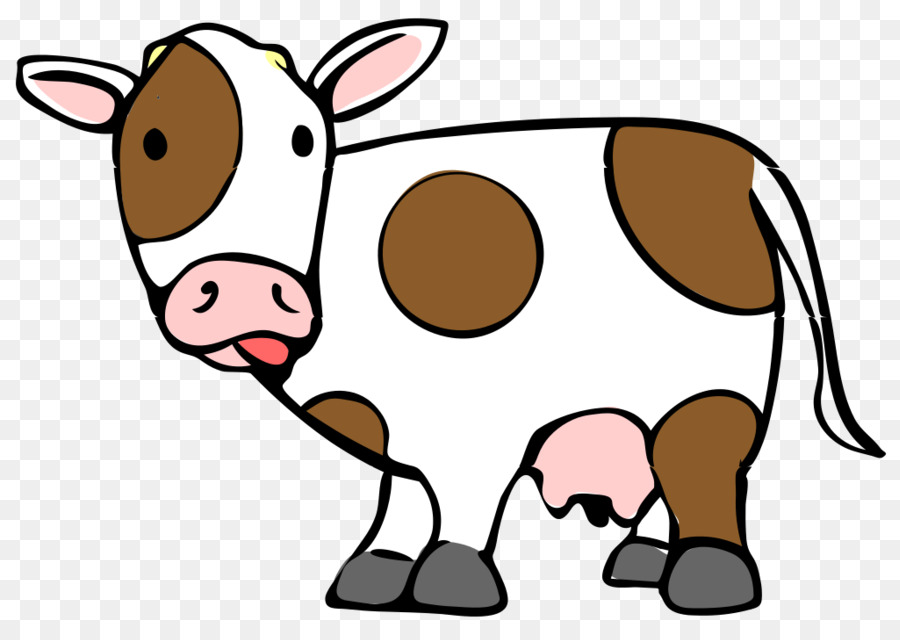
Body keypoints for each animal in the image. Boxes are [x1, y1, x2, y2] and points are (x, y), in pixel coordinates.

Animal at [16, 19, 884, 616]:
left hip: (710, 379)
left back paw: (705, 582)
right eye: (150, 142)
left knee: (704, 464)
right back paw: (639, 562)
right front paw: (372, 576)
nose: (241, 286)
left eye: (305, 137)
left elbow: (464, 495)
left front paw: (452, 586)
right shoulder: (402, 418)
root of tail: (734, 156)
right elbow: (401, 492)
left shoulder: (481, 414)